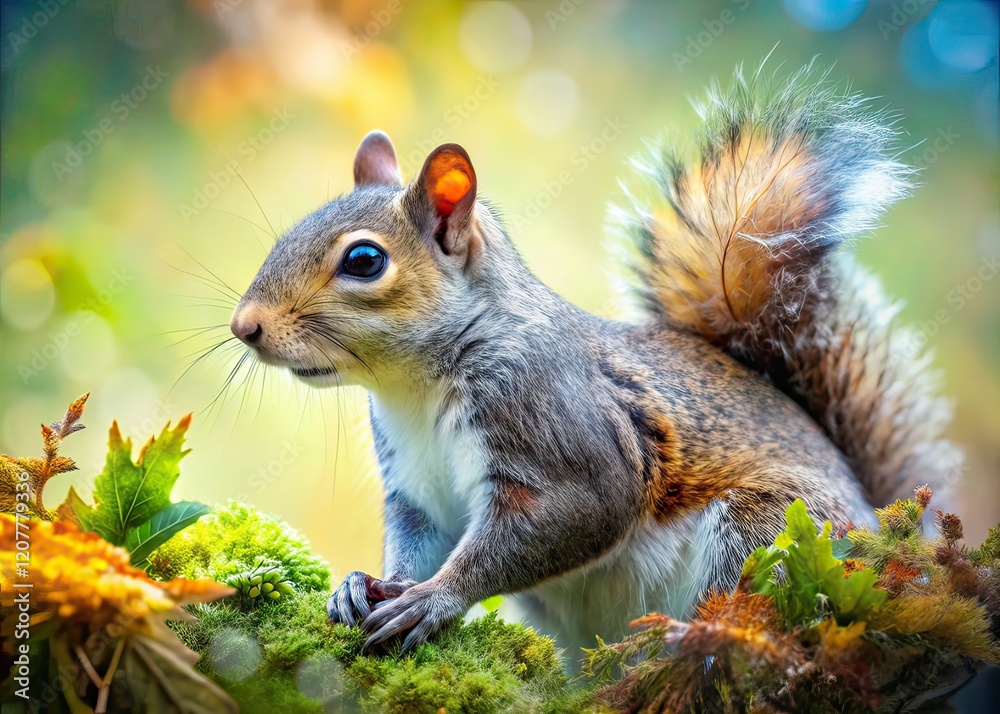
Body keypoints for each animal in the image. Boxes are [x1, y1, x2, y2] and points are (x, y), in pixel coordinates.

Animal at [229, 64, 961, 657]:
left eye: (364, 260)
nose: (244, 327)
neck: (415, 387)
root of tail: (896, 543)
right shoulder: (418, 486)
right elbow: (417, 538)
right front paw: (362, 584)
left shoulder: (554, 418)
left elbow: (583, 507)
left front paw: (434, 599)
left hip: (778, 531)